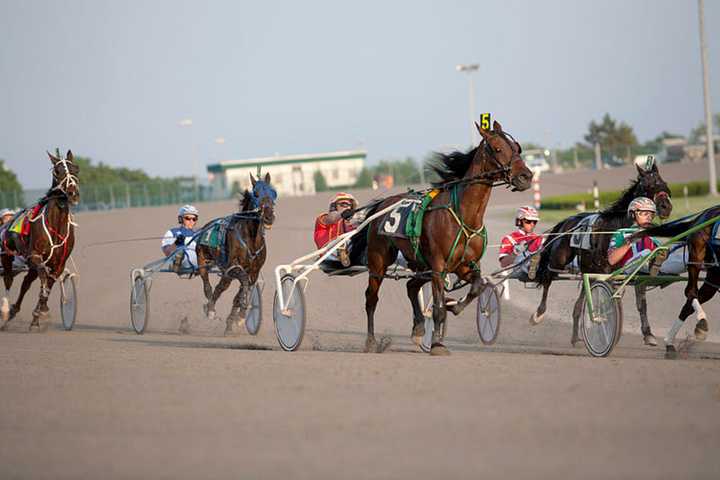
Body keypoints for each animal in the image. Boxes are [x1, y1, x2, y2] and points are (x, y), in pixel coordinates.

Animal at [0, 152, 80, 332]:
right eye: (57, 171)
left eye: (75, 168)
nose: (72, 193)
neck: (56, 225)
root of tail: (6, 224)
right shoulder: (35, 257)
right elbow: (44, 281)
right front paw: (42, 310)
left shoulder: (58, 265)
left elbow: (47, 286)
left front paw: (38, 315)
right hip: (7, 257)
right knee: (8, 280)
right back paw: (6, 311)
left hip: (30, 266)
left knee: (25, 283)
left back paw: (15, 310)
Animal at [195, 172, 278, 334]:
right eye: (256, 194)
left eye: (272, 193)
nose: (269, 217)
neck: (251, 239)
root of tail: (206, 227)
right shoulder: (233, 268)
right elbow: (243, 284)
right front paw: (240, 314)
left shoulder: (254, 271)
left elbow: (242, 292)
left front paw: (235, 319)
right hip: (204, 260)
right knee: (211, 285)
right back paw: (210, 308)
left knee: (222, 286)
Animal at [352, 122, 532, 354]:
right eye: (498, 148)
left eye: (517, 148)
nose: (526, 176)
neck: (464, 216)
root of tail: (381, 205)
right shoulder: (438, 266)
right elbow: (438, 308)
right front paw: (437, 343)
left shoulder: (465, 266)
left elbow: (477, 287)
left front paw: (454, 306)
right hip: (379, 262)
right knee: (371, 298)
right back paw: (371, 342)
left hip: (420, 263)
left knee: (411, 287)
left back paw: (419, 328)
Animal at [532, 163, 672, 346]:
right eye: (647, 185)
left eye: (663, 182)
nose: (666, 207)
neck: (617, 227)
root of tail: (567, 220)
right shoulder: (604, 272)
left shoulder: (627, 271)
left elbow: (639, 301)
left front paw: (648, 334)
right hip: (559, 259)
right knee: (548, 277)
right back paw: (539, 313)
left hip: (587, 269)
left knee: (579, 303)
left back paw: (576, 336)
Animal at [628, 204, 720, 358]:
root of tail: (703, 215)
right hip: (697, 256)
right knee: (690, 292)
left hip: (715, 272)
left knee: (691, 302)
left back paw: (670, 342)